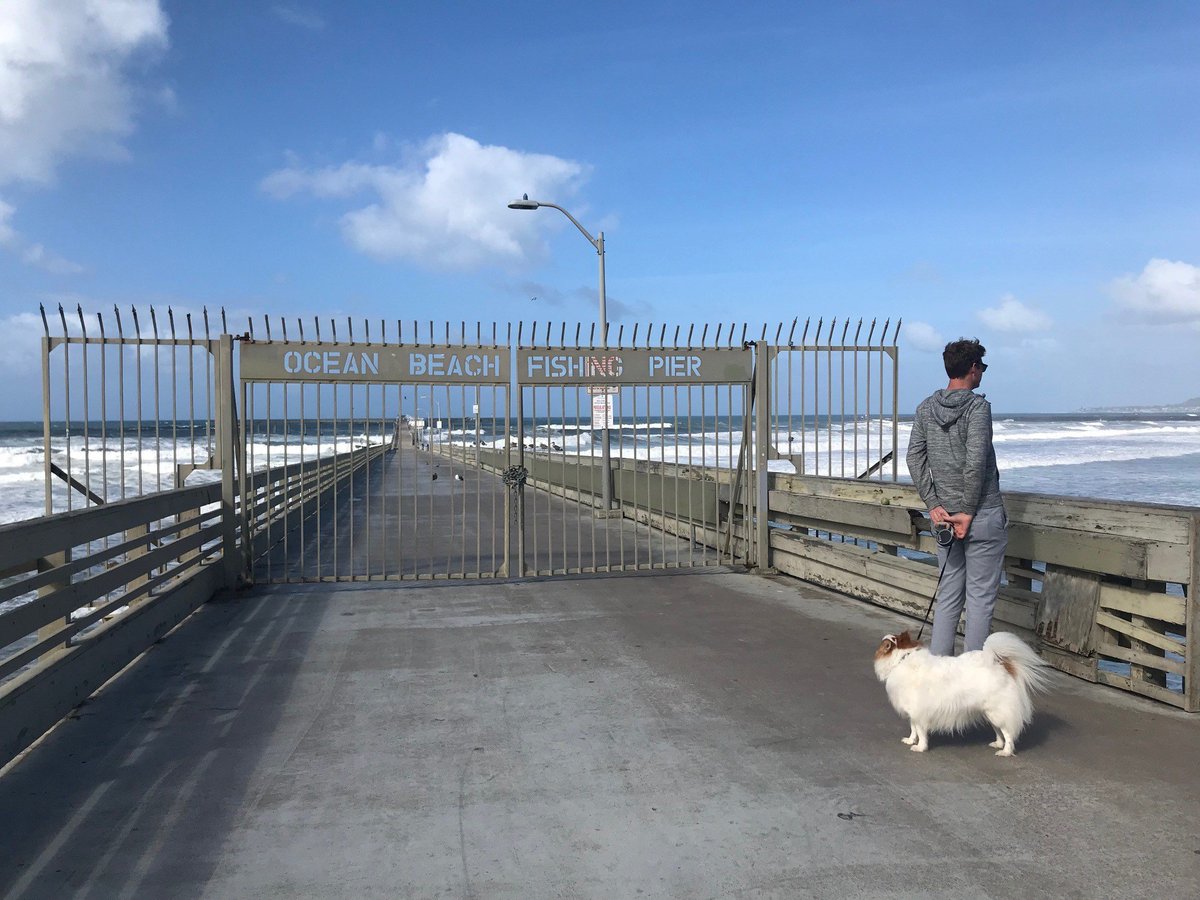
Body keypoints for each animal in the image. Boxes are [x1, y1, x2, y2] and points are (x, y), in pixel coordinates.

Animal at [873, 628, 1051, 758]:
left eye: (883, 645)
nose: (878, 648)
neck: (902, 659)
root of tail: (1001, 665)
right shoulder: (913, 712)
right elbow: (913, 729)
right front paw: (910, 741)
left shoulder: (920, 712)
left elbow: (921, 732)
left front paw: (920, 747)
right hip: (990, 713)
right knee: (1000, 731)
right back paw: (998, 744)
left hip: (998, 712)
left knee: (1008, 733)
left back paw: (1005, 751)